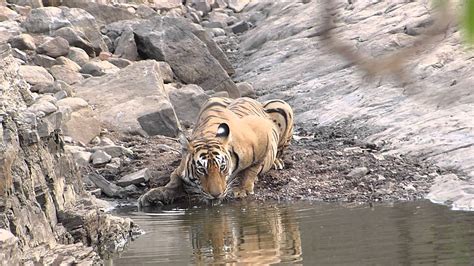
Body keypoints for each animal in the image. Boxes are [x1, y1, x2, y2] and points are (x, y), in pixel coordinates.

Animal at [138, 96, 292, 207]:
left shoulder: (262, 136)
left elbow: (252, 169)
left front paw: (242, 189)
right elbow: (173, 182)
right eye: (201, 170)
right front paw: (153, 196)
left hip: (283, 106)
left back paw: (277, 162)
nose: (216, 195)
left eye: (222, 167)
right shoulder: (180, 169)